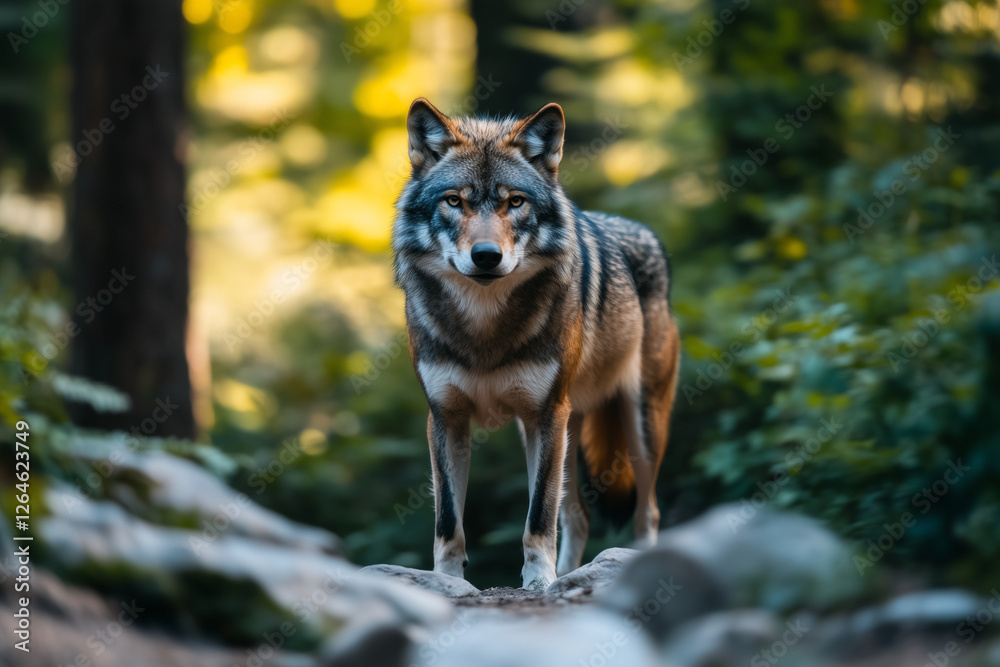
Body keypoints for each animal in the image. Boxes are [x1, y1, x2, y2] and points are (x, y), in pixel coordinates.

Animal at [392, 98, 681, 589]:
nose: (486, 256)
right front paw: (447, 582)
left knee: (648, 513)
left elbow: (538, 518)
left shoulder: (546, 414)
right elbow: (448, 520)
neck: (484, 329)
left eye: (515, 201)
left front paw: (539, 582)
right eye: (454, 201)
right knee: (579, 515)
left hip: (637, 429)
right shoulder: (446, 418)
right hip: (564, 429)